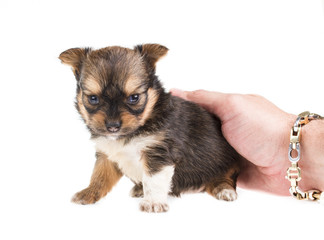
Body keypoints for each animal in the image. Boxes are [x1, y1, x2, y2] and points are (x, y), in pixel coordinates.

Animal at [58, 44, 240, 213]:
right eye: (93, 99)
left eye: (134, 98)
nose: (112, 126)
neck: (132, 133)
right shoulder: (107, 155)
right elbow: (99, 176)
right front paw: (89, 193)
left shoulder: (158, 152)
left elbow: (153, 180)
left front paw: (153, 202)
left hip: (229, 162)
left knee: (227, 177)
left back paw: (224, 189)